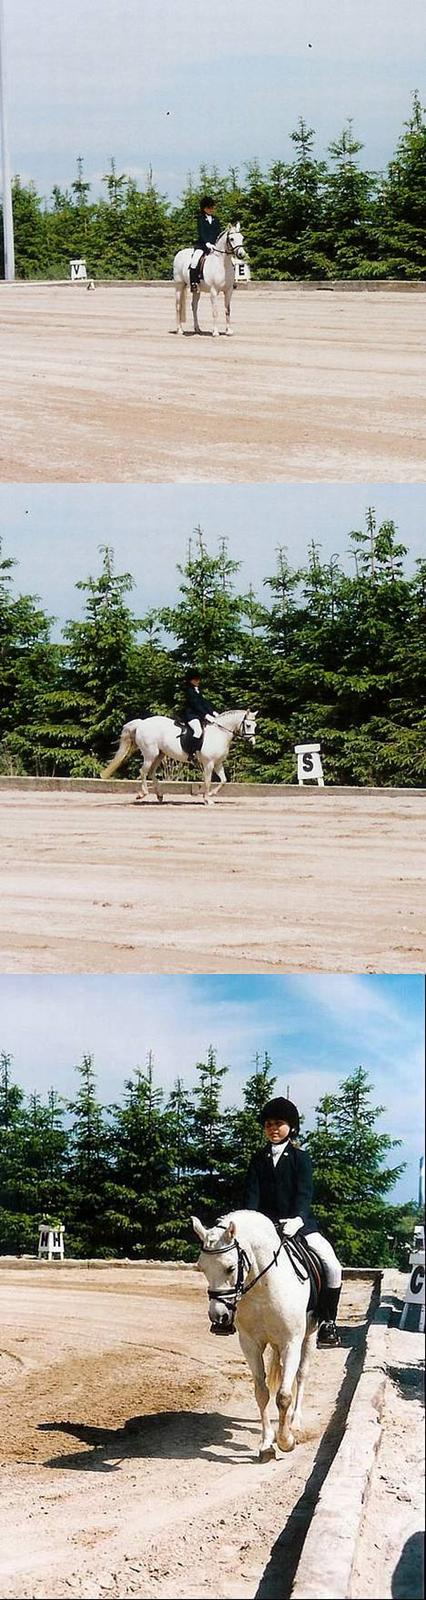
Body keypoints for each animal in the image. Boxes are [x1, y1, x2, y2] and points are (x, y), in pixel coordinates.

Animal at [102, 708, 257, 805]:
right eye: (248, 725)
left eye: (255, 725)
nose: (252, 742)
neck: (219, 733)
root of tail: (142, 723)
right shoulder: (208, 763)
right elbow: (207, 781)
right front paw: (207, 799)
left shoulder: (218, 763)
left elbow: (224, 780)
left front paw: (212, 794)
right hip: (150, 754)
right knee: (143, 771)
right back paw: (142, 794)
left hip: (159, 754)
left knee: (151, 772)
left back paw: (159, 795)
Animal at [193, 1211, 318, 1459]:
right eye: (202, 1268)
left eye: (231, 1268)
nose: (218, 1317)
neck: (263, 1287)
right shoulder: (250, 1345)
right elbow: (262, 1393)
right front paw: (267, 1443)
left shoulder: (291, 1343)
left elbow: (284, 1396)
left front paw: (286, 1440)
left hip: (310, 1337)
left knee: (301, 1375)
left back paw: (296, 1422)